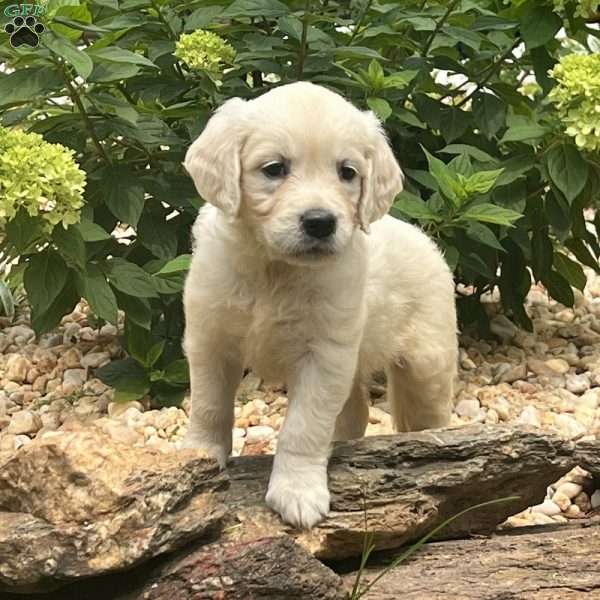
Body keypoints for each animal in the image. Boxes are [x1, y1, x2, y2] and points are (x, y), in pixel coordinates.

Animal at [180, 81, 458, 528]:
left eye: (347, 172)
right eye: (274, 168)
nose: (320, 222)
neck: (275, 270)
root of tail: (426, 240)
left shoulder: (325, 355)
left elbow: (304, 425)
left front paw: (297, 491)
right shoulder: (210, 338)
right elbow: (209, 405)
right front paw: (201, 454)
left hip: (426, 364)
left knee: (422, 413)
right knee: (354, 412)